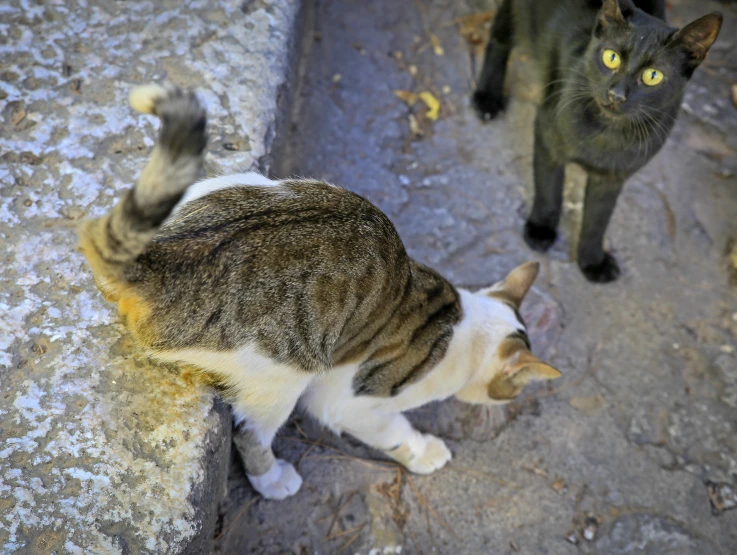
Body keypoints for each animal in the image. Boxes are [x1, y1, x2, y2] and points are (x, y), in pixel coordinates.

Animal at [79, 84, 556, 502]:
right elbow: (394, 430)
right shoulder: (348, 403)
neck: (464, 324)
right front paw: (424, 452)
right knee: (250, 433)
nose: (507, 404)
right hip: (284, 373)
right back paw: (273, 480)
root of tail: (163, 251)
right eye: (513, 389)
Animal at [474, 0, 720, 282]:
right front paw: (541, 230)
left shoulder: (613, 177)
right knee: (499, 37)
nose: (617, 95)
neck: (608, 132)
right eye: (611, 57)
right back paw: (487, 98)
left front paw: (592, 261)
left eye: (653, 76)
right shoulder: (547, 134)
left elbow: (597, 219)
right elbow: (549, 190)